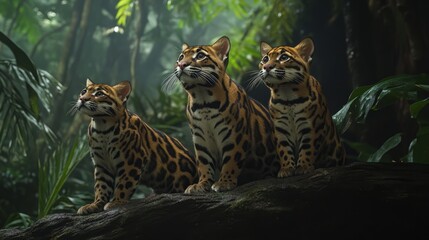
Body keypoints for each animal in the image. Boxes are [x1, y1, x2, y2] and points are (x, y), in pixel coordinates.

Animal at [72, 78, 197, 214]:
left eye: (99, 94)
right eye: (83, 91)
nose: (82, 99)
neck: (102, 127)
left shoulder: (132, 161)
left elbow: (124, 184)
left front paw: (116, 202)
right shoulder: (102, 165)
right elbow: (101, 187)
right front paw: (95, 204)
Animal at [163, 35, 278, 193]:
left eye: (200, 56)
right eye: (181, 56)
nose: (181, 64)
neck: (202, 100)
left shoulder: (235, 134)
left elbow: (231, 160)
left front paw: (224, 182)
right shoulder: (200, 137)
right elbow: (204, 163)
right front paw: (201, 184)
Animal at [251, 37, 344, 176]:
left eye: (284, 57)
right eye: (265, 59)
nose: (267, 67)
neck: (287, 94)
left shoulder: (311, 125)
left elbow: (307, 146)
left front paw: (303, 167)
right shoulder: (280, 128)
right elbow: (283, 148)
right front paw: (286, 169)